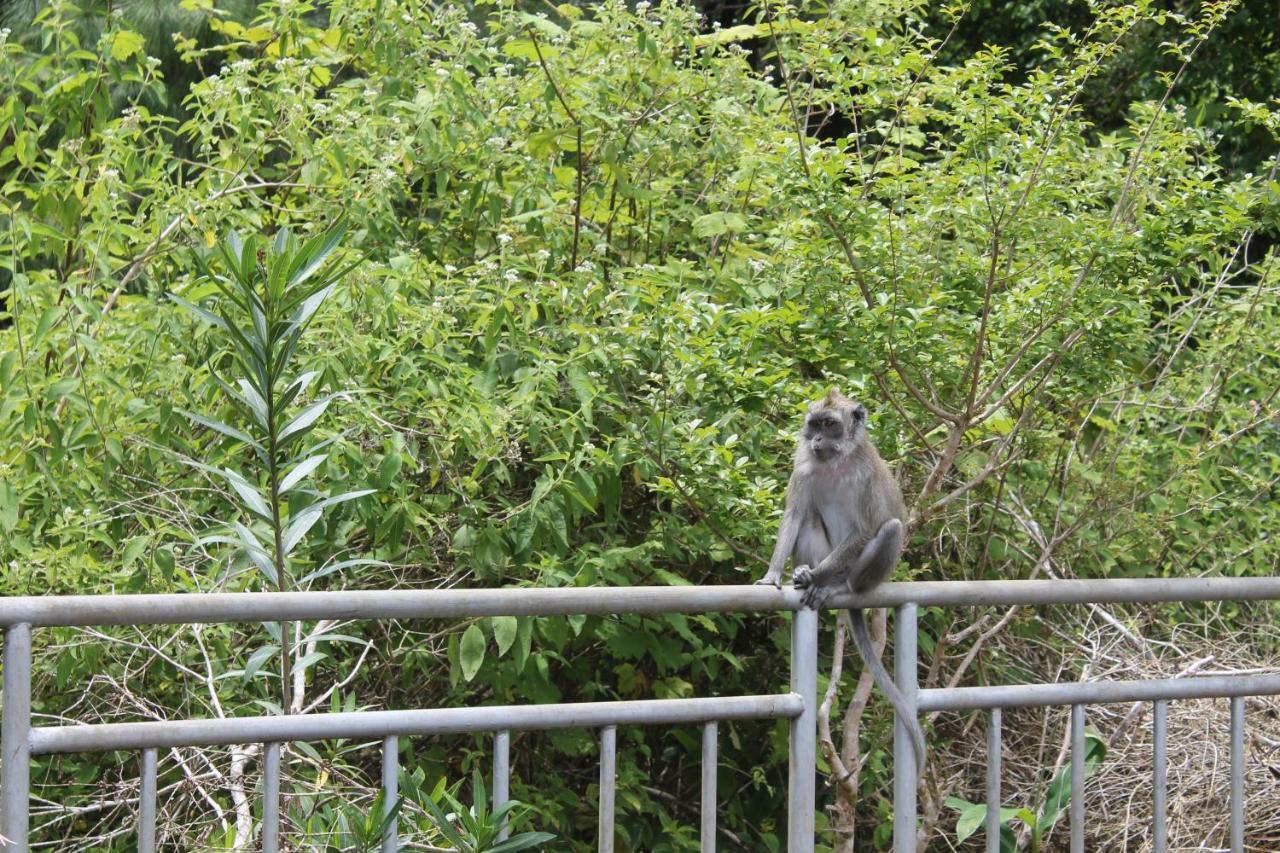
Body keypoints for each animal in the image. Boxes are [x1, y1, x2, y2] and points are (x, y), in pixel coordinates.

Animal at [752, 389, 926, 773]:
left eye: (830, 425)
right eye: (814, 424)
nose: (817, 440)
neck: (837, 462)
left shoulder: (867, 475)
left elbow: (867, 528)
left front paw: (815, 578)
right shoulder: (804, 466)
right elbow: (795, 515)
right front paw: (773, 575)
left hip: (864, 569)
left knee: (889, 529)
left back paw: (836, 585)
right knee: (809, 518)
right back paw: (806, 573)